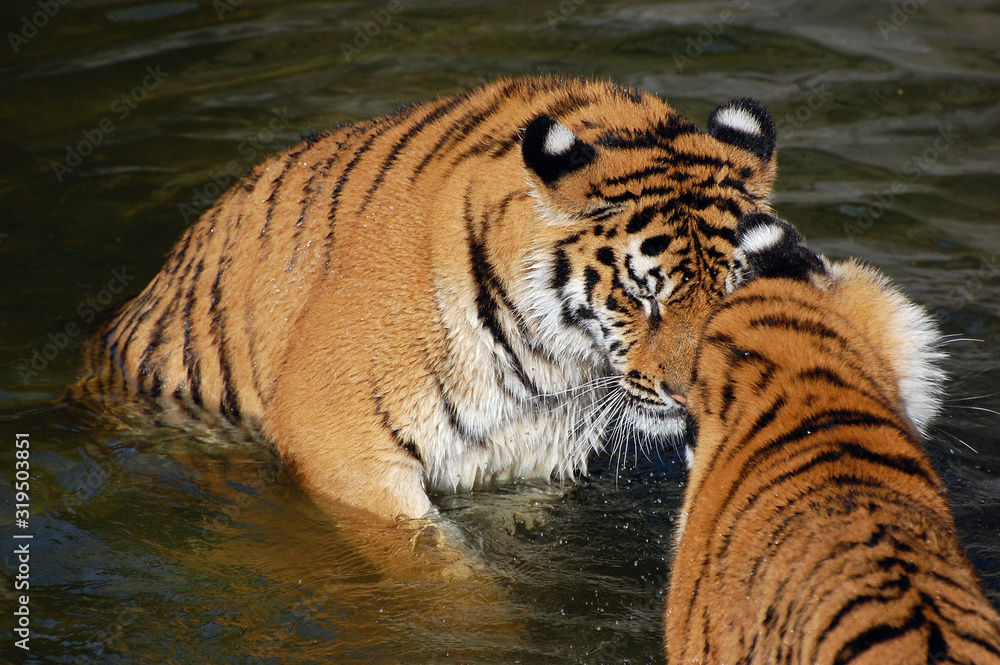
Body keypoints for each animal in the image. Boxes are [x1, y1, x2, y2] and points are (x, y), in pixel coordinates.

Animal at [74, 75, 783, 522]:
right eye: (642, 296)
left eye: (731, 289)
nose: (695, 396)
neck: (548, 369)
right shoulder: (338, 440)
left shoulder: (519, 462)